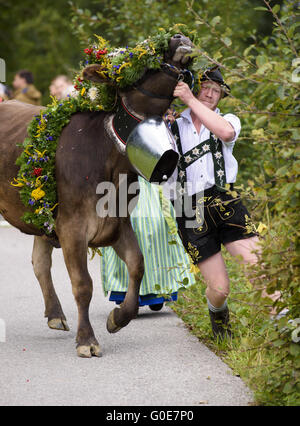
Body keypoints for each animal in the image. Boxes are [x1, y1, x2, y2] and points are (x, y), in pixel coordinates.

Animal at [0, 35, 193, 358]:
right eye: (139, 63)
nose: (177, 38)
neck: (111, 164)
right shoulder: (71, 227)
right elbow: (83, 285)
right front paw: (86, 340)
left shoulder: (117, 223)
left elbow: (138, 265)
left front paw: (119, 317)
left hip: (41, 210)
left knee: (40, 261)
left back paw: (55, 314)